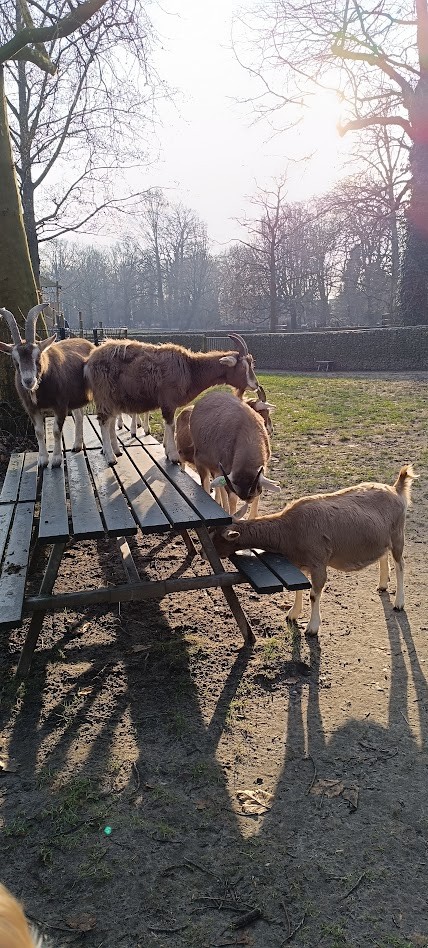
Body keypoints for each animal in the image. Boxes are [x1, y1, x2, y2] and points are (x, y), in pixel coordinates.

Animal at [0, 304, 94, 466]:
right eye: (15, 360)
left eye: (38, 356)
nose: (29, 381)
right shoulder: (31, 408)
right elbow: (39, 431)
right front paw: (43, 459)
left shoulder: (60, 405)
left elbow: (56, 430)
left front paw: (56, 459)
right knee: (79, 416)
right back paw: (76, 445)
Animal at [83, 334, 258, 466]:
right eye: (243, 367)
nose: (255, 385)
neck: (190, 369)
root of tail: (89, 362)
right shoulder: (168, 402)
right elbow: (171, 425)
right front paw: (173, 456)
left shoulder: (167, 404)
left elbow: (167, 425)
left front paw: (167, 451)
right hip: (105, 395)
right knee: (104, 422)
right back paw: (111, 458)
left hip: (113, 399)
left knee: (110, 422)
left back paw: (116, 450)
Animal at [213, 464, 414, 632]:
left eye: (216, 537)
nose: (206, 554)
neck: (289, 528)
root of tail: (396, 490)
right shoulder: (297, 563)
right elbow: (299, 588)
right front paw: (293, 614)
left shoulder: (318, 563)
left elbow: (313, 594)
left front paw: (312, 628)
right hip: (381, 538)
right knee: (382, 555)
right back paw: (382, 585)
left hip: (398, 535)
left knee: (401, 564)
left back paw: (399, 603)